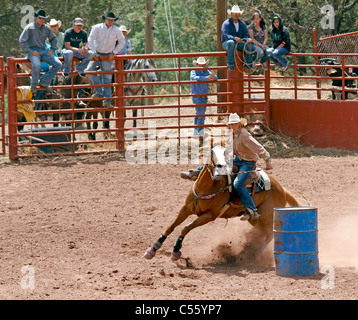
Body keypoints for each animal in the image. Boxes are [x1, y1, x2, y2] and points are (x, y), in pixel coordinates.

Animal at [144, 144, 300, 262]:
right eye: (212, 157)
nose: (219, 174)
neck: (204, 188)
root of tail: (282, 189)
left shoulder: (209, 216)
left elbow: (185, 228)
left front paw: (176, 252)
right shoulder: (186, 208)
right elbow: (170, 227)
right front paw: (153, 249)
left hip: (267, 217)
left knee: (269, 235)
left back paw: (255, 255)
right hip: (256, 220)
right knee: (263, 232)